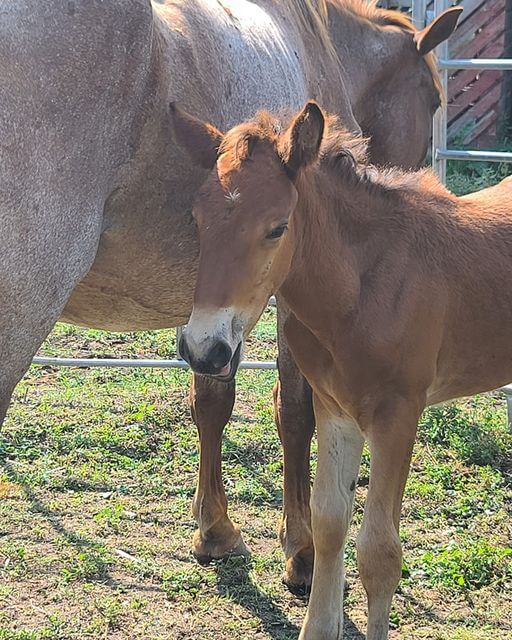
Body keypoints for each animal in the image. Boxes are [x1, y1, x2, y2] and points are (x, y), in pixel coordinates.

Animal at [0, 0, 460, 594]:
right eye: (432, 98)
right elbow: (295, 412)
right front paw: (302, 552)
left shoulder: (213, 313)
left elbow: (211, 403)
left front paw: (214, 531)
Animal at [174, 101, 512, 639]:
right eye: (197, 219)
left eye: (277, 227)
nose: (204, 348)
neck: (364, 285)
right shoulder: (335, 409)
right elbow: (330, 522)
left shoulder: (398, 415)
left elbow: (379, 552)